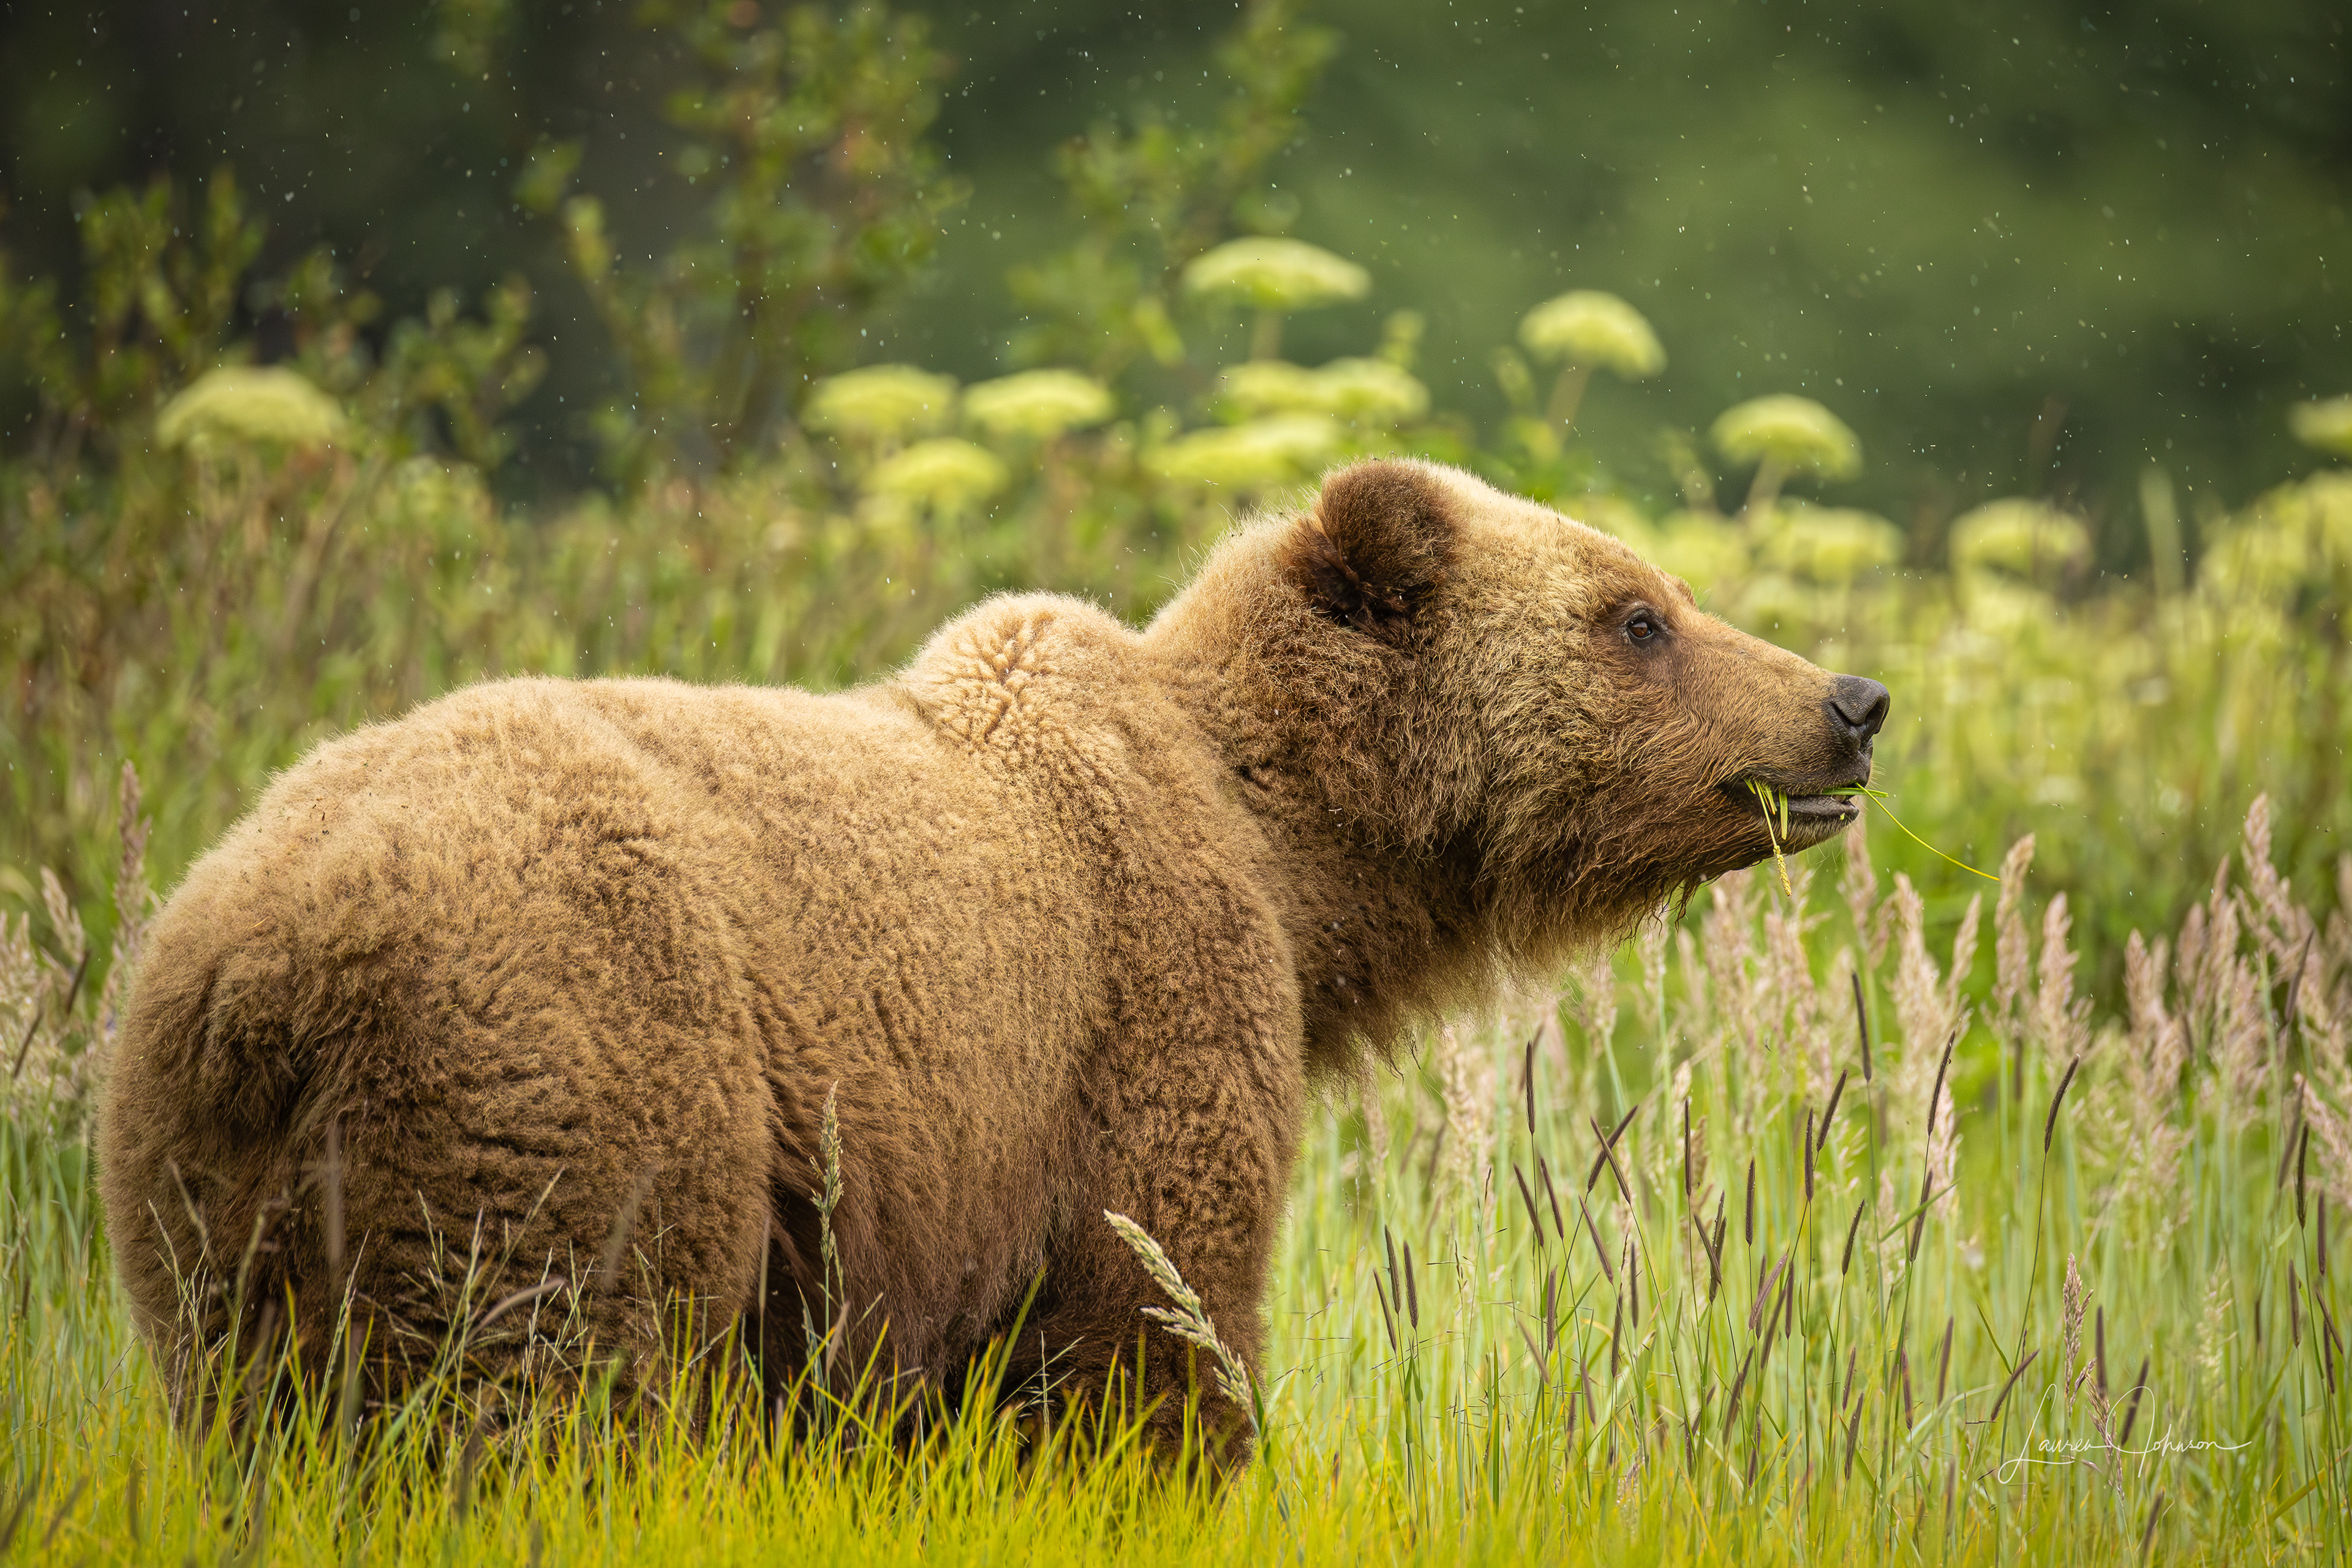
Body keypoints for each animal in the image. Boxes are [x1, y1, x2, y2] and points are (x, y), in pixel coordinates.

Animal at [97, 458, 1887, 1457]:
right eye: (1637, 615)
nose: (1851, 703)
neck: (1302, 873)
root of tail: (272, 954)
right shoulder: (1143, 1020)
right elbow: (1153, 1339)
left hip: (215, 1200)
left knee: (265, 1421)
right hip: (578, 1078)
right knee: (539, 1402)